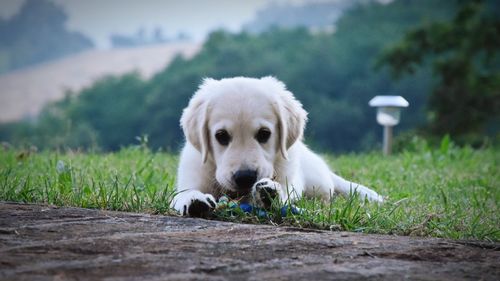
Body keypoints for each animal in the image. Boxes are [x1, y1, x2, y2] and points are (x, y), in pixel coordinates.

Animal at [172, 76, 382, 217]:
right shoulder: (192, 175)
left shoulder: (286, 180)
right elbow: (184, 193)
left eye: (264, 134)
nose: (245, 177)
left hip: (318, 184)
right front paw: (193, 201)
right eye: (221, 136)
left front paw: (269, 193)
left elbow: (279, 193)